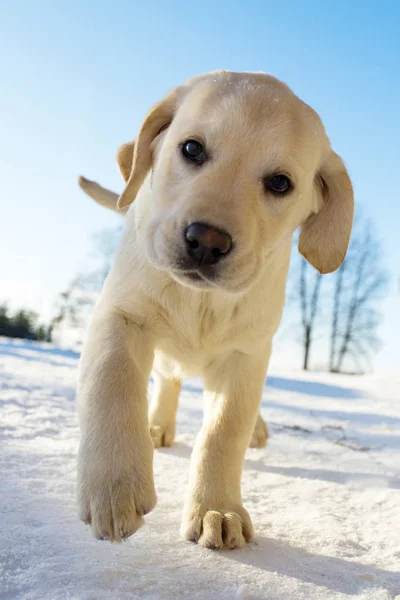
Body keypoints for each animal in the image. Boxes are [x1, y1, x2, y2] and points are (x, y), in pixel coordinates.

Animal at [77, 70, 354, 548]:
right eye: (191, 149)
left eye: (280, 183)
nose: (207, 241)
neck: (201, 300)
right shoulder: (120, 313)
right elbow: (112, 381)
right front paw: (113, 487)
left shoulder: (247, 353)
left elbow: (225, 430)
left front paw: (217, 509)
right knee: (167, 379)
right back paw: (155, 427)